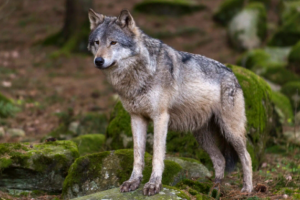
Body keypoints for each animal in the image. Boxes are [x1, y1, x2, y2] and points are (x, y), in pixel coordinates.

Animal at [87, 9, 253, 195]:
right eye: (97, 42)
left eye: (113, 42)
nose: (98, 60)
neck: (139, 73)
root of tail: (232, 74)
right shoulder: (136, 118)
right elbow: (137, 155)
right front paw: (133, 182)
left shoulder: (160, 117)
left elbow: (157, 155)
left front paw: (153, 184)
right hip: (202, 137)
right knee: (220, 160)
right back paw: (213, 190)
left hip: (230, 131)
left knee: (246, 157)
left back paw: (247, 189)